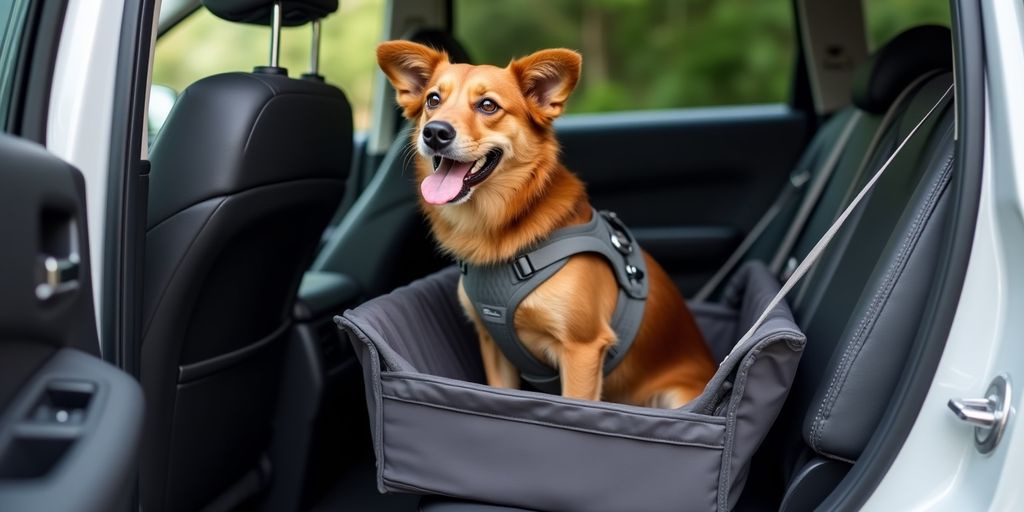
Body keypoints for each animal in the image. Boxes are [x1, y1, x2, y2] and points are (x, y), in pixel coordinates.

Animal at [376, 40, 712, 407]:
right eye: (433, 100)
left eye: (488, 105)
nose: (435, 132)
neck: (498, 228)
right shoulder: (494, 347)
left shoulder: (582, 349)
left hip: (675, 394)